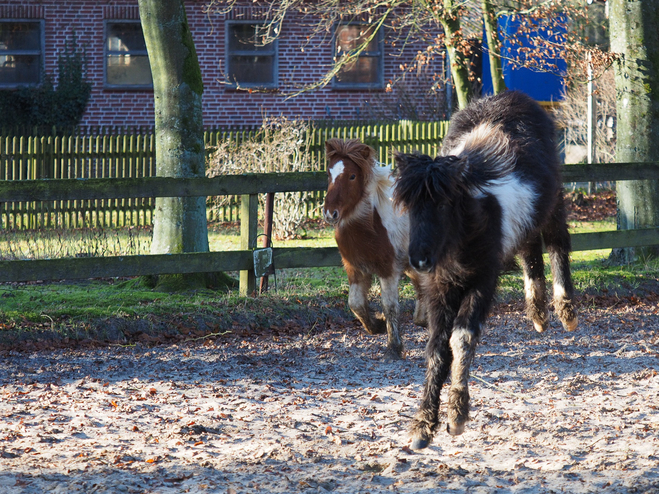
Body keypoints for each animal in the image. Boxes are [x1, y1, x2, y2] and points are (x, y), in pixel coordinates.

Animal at [324, 139, 428, 358]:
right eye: (329, 173)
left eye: (352, 176)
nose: (330, 214)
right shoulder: (354, 269)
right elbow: (355, 303)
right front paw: (376, 325)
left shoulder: (388, 270)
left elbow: (390, 306)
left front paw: (394, 347)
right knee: (422, 287)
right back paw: (422, 319)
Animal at [394, 90, 580, 450]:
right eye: (410, 205)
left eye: (442, 204)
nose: (419, 260)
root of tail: (513, 96)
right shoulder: (440, 290)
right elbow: (436, 349)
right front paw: (423, 425)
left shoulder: (482, 281)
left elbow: (461, 339)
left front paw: (456, 415)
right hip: (526, 217)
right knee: (529, 250)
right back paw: (538, 313)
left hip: (553, 202)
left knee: (556, 243)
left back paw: (565, 310)